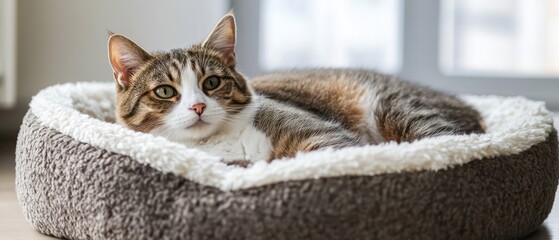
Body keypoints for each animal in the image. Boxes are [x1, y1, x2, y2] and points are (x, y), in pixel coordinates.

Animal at [108, 12, 486, 163]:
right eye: (165, 91)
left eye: (211, 82)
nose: (198, 106)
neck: (217, 143)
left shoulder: (322, 134)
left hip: (401, 109)